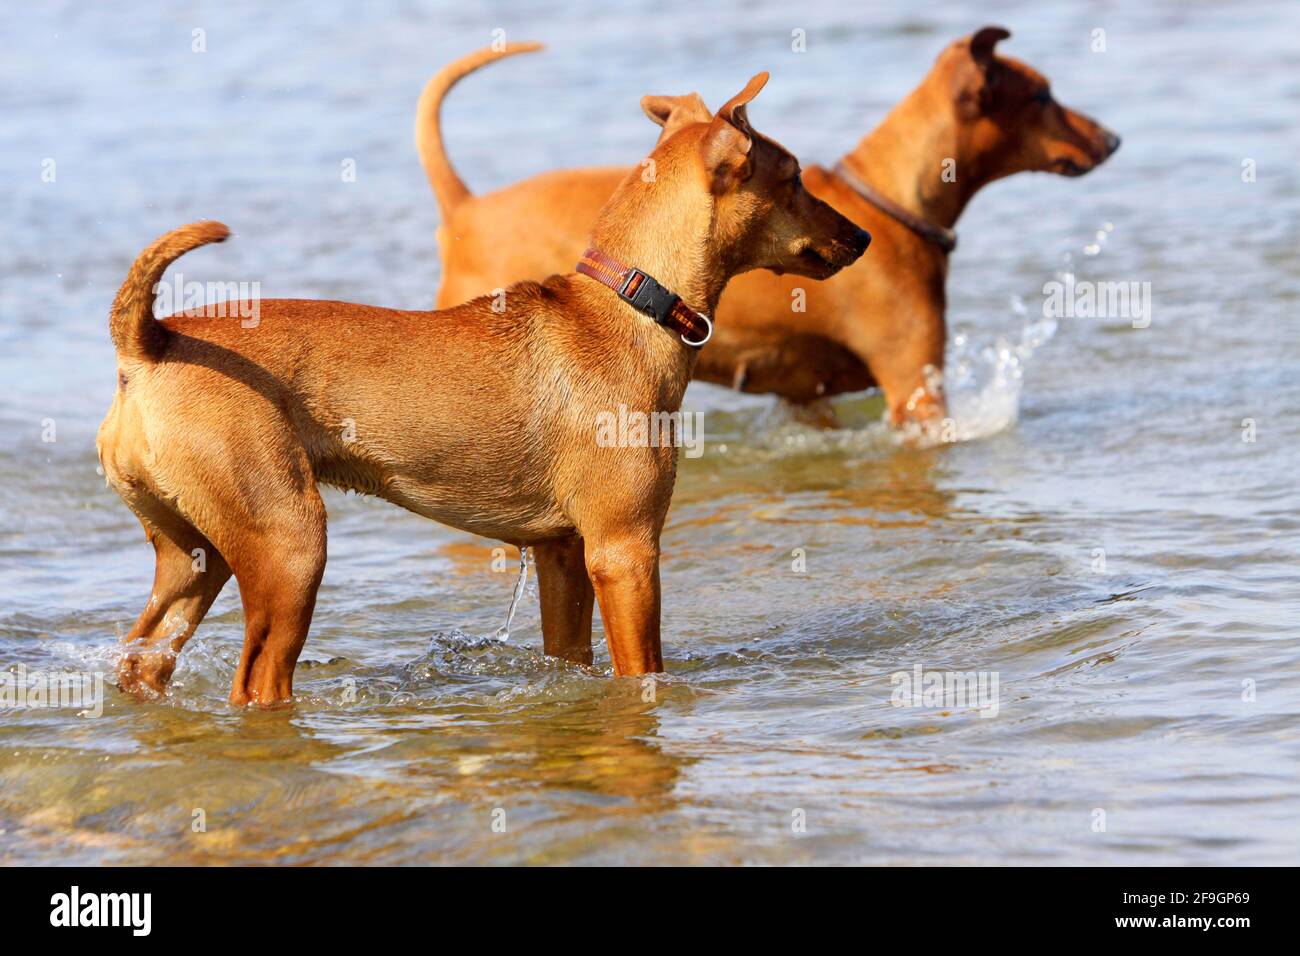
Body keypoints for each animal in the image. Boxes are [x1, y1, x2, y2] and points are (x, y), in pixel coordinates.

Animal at [98, 72, 873, 702]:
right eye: (795, 179)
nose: (863, 237)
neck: (628, 305)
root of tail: (150, 343)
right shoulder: (624, 550)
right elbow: (641, 668)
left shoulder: (562, 554)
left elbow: (573, 654)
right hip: (289, 546)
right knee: (257, 682)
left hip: (193, 560)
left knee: (142, 658)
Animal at [423, 27, 1118, 424]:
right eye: (1043, 97)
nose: (1112, 138)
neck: (892, 198)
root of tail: (465, 207)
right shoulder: (915, 390)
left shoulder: (807, 397)